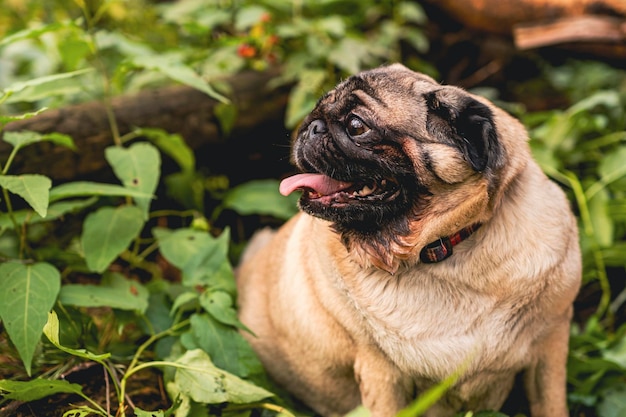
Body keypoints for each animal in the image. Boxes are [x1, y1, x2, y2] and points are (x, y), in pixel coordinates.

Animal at [234, 62, 580, 416]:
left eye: (356, 126)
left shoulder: (551, 345)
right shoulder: (381, 373)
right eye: (316, 112)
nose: (311, 127)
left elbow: (552, 404)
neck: (440, 248)